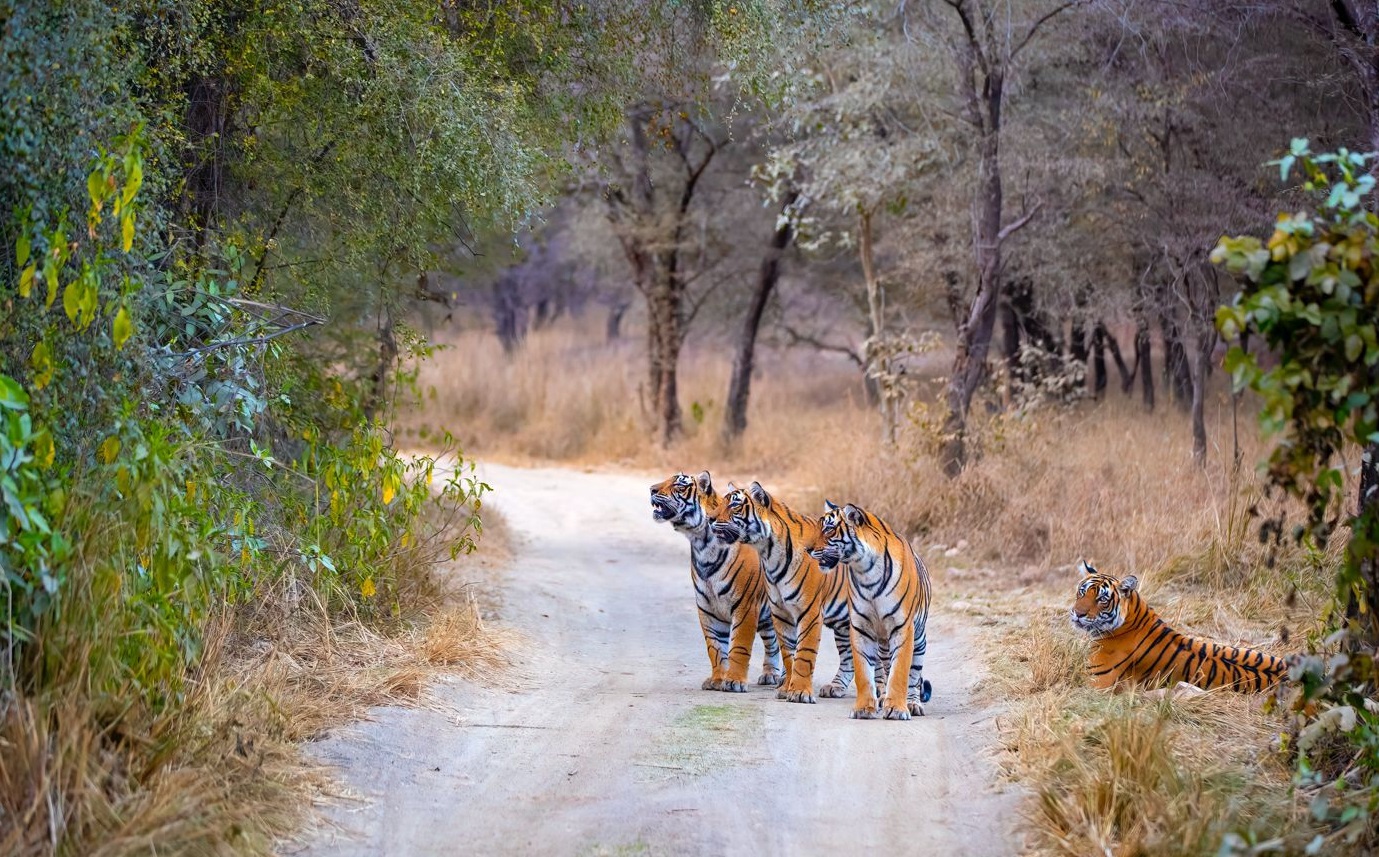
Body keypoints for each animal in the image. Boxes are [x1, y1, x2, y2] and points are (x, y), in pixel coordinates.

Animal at [650, 471, 785, 692]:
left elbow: (739, 646)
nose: (651, 489)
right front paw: (717, 680)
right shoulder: (707, 607)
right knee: (773, 642)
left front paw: (735, 681)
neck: (702, 544)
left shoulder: (746, 606)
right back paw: (770, 675)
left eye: (679, 485)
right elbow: (715, 647)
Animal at [710, 481, 854, 704]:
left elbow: (804, 653)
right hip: (844, 625)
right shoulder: (781, 612)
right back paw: (836, 687)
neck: (768, 553)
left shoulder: (810, 612)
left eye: (734, 506)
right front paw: (787, 688)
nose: (709, 519)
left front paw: (800, 692)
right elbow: (789, 653)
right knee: (849, 657)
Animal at [807, 501, 934, 720]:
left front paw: (897, 709)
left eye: (829, 529)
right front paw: (864, 709)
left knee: (914, 675)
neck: (865, 570)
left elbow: (900, 672)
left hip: (918, 639)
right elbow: (864, 672)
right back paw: (882, 698)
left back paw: (912, 703)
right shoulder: (861, 627)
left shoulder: (902, 628)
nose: (807, 549)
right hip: (882, 641)